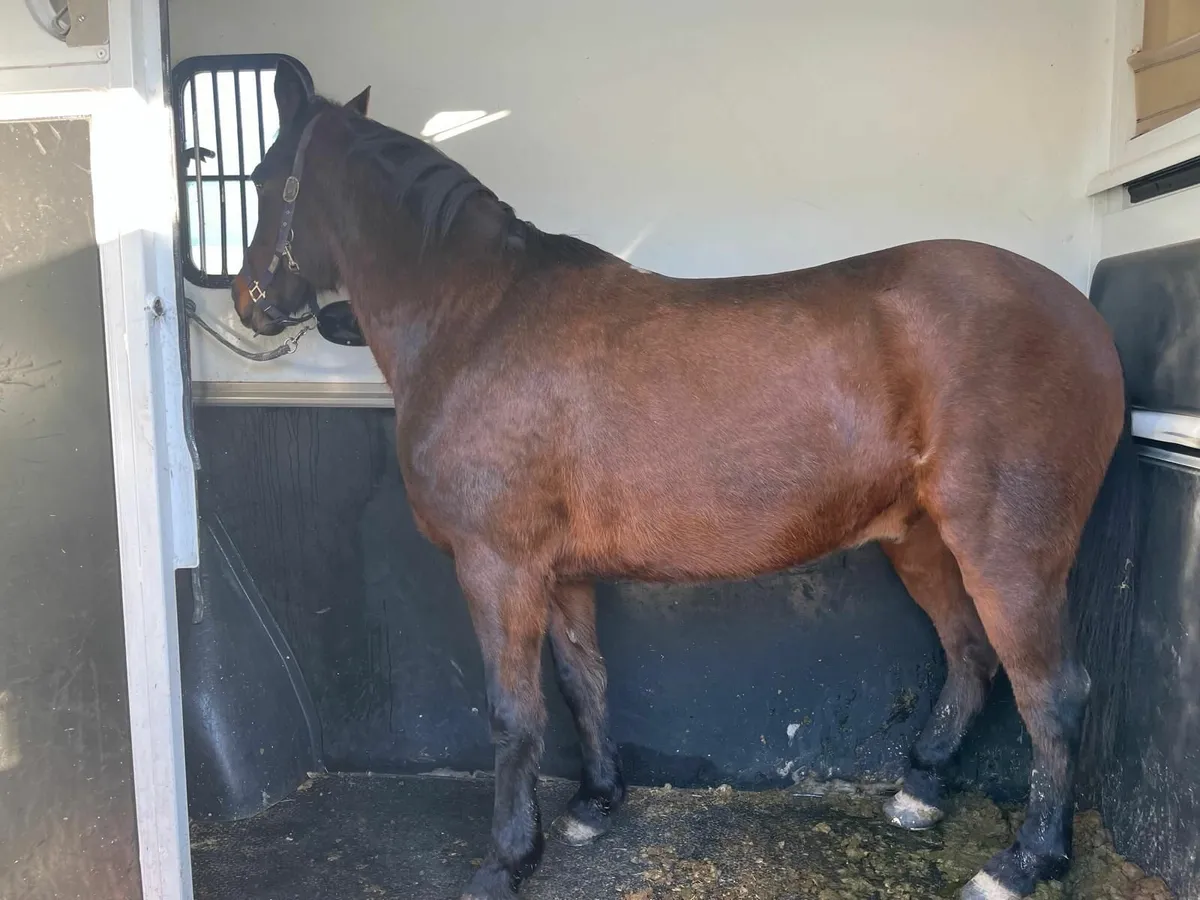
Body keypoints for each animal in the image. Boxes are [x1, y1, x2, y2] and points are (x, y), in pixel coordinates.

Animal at [228, 59, 1137, 900]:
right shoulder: (560, 573)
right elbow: (583, 682)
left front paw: (506, 861)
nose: (248, 301)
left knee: (1054, 692)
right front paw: (595, 803)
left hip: (1010, 555)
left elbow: (513, 714)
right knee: (971, 656)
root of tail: (1086, 321)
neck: (477, 316)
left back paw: (1024, 861)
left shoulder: (497, 567)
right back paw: (920, 789)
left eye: (264, 178)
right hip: (919, 541)